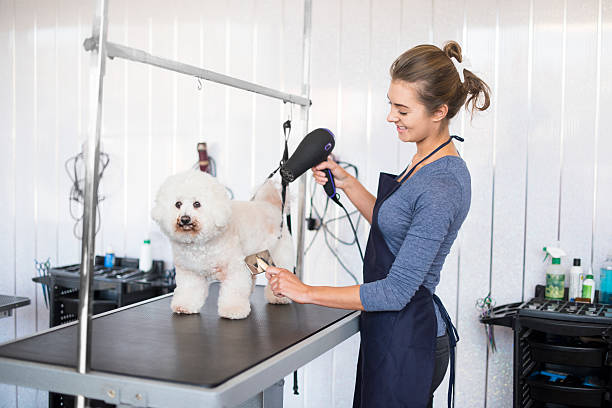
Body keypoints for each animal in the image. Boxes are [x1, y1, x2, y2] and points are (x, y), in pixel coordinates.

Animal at [152, 169, 292, 318]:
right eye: (178, 204)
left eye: (197, 204)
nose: (185, 219)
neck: (200, 244)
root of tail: (272, 206)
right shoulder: (190, 272)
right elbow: (189, 290)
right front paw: (185, 306)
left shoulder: (234, 268)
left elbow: (234, 290)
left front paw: (233, 310)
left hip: (277, 258)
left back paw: (279, 298)